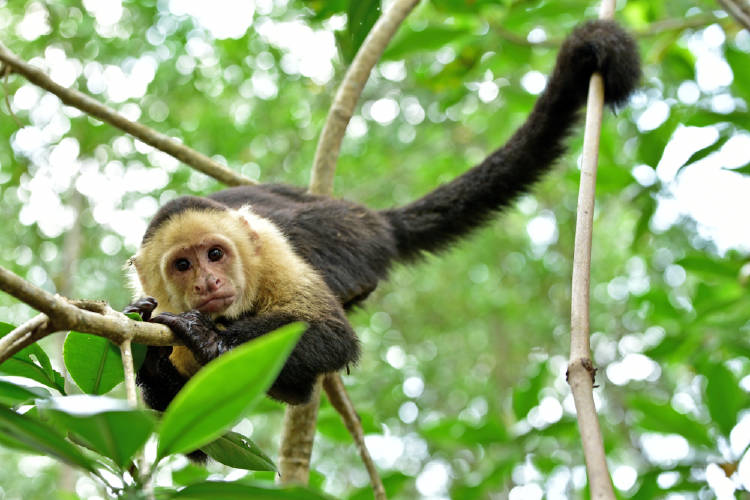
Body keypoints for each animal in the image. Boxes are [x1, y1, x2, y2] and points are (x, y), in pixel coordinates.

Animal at [126, 20, 644, 410]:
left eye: (215, 254)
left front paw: (208, 338)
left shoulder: (271, 258)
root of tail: (369, 218)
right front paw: (149, 351)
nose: (207, 283)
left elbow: (332, 336)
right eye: (183, 265)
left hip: (344, 237)